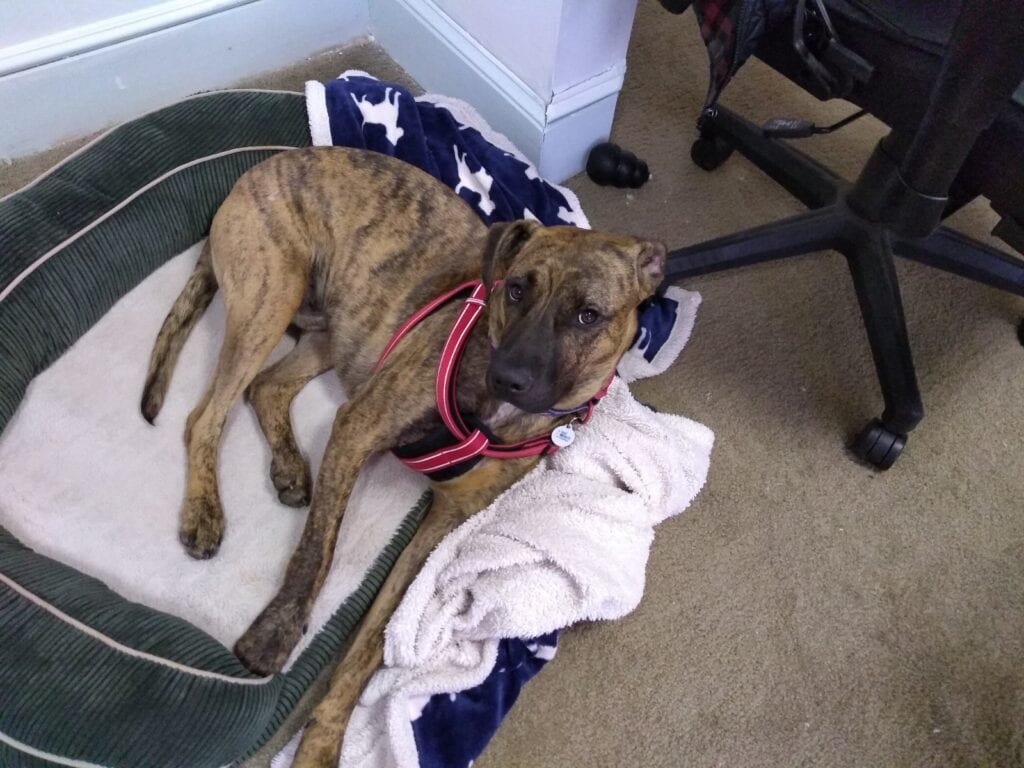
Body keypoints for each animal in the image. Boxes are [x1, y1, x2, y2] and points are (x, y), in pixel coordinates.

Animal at [140, 147, 663, 765]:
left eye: (588, 316)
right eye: (515, 289)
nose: (508, 377)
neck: (497, 415)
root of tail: (259, 169)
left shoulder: (443, 520)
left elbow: (375, 636)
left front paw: (323, 739)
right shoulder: (357, 427)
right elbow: (316, 554)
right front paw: (275, 634)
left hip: (336, 332)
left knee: (264, 388)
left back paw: (290, 466)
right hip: (272, 294)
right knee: (206, 416)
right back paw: (204, 511)